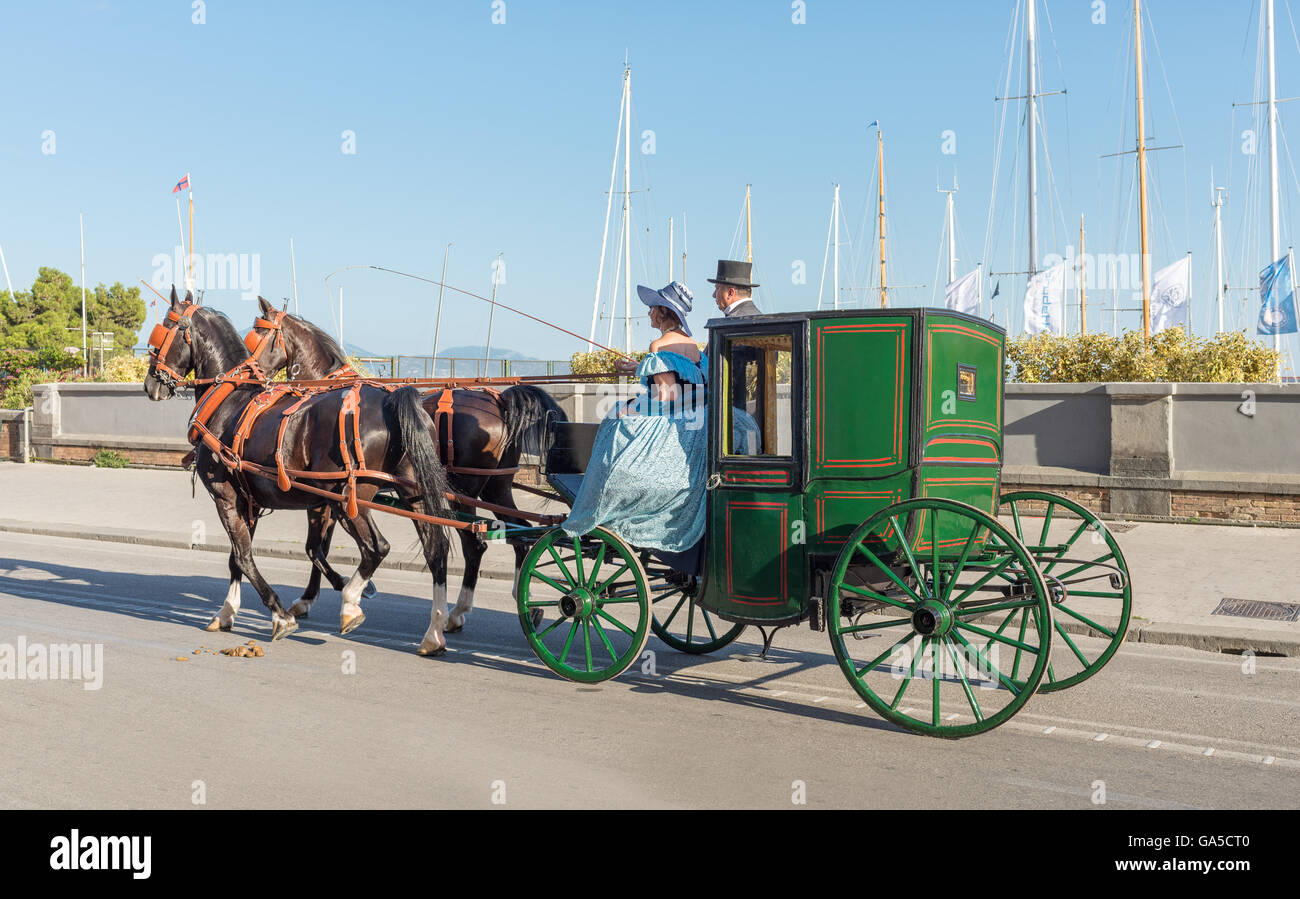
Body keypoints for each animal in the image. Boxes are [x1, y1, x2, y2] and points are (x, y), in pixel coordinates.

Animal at [143, 289, 454, 652]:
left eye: (163, 330)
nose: (150, 384)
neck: (229, 400)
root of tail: (392, 400)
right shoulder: (253, 501)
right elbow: (245, 557)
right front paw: (227, 610)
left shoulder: (227, 497)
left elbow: (246, 556)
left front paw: (280, 614)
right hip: (412, 491)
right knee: (436, 550)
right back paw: (433, 630)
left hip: (350, 498)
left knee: (377, 548)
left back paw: (352, 601)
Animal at [248, 298, 564, 628]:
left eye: (259, 334)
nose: (251, 372)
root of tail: (500, 402)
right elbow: (318, 549)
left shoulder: (328, 495)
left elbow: (315, 549)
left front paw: (321, 595)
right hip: (496, 487)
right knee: (521, 534)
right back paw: (519, 602)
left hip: (465, 490)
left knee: (476, 544)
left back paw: (460, 611)